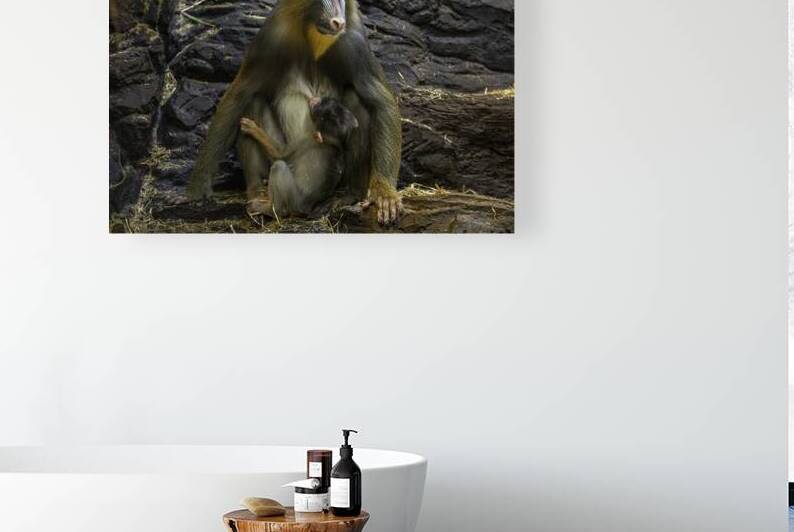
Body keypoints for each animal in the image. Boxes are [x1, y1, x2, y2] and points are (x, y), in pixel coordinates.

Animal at [186, 0, 403, 224]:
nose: (338, 22)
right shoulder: (270, 39)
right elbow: (240, 94)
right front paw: (197, 189)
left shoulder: (354, 46)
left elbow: (381, 101)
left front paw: (385, 194)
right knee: (252, 102)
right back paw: (256, 192)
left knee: (355, 97)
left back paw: (349, 194)